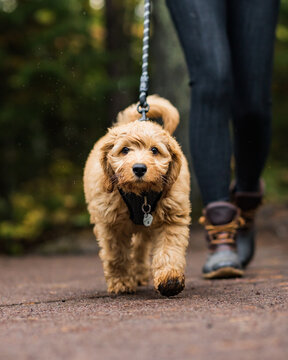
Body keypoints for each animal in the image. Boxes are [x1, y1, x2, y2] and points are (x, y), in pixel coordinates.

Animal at [83, 94, 191, 296]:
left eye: (154, 150)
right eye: (125, 150)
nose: (139, 168)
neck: (141, 195)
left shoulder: (172, 218)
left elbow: (169, 248)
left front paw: (169, 279)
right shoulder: (110, 225)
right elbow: (116, 255)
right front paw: (121, 282)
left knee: (141, 249)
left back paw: (140, 273)